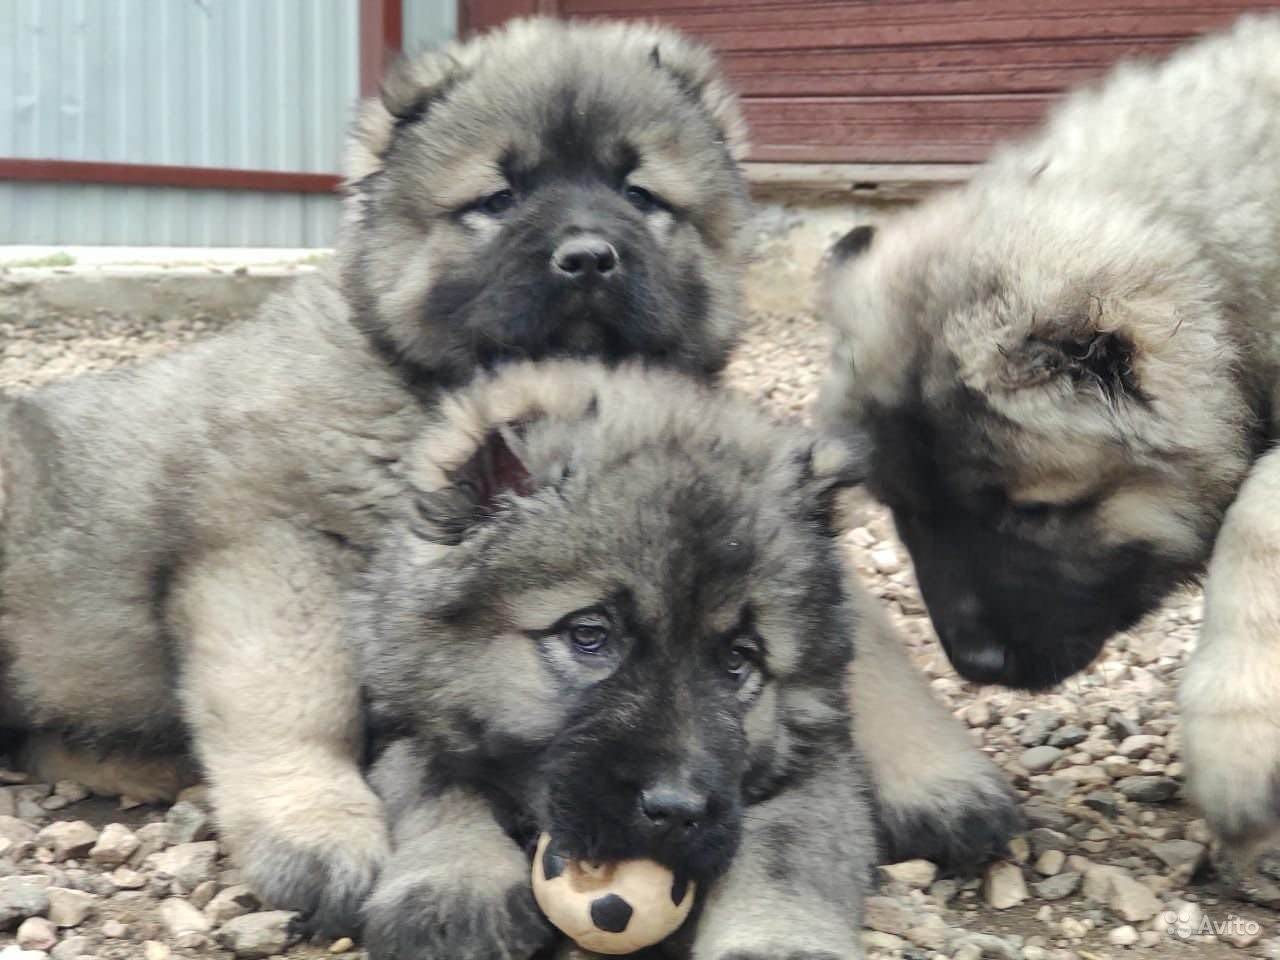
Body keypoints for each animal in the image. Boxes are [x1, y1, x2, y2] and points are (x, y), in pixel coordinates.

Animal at [0, 15, 747, 931]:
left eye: (640, 195)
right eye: (498, 200)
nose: (588, 257)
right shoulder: (272, 556)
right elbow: (298, 703)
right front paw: (317, 830)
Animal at [350, 363, 870, 960]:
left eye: (739, 661)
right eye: (590, 635)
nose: (676, 810)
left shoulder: (818, 759)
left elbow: (789, 844)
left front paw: (777, 940)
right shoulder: (407, 720)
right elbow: (439, 782)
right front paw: (456, 882)